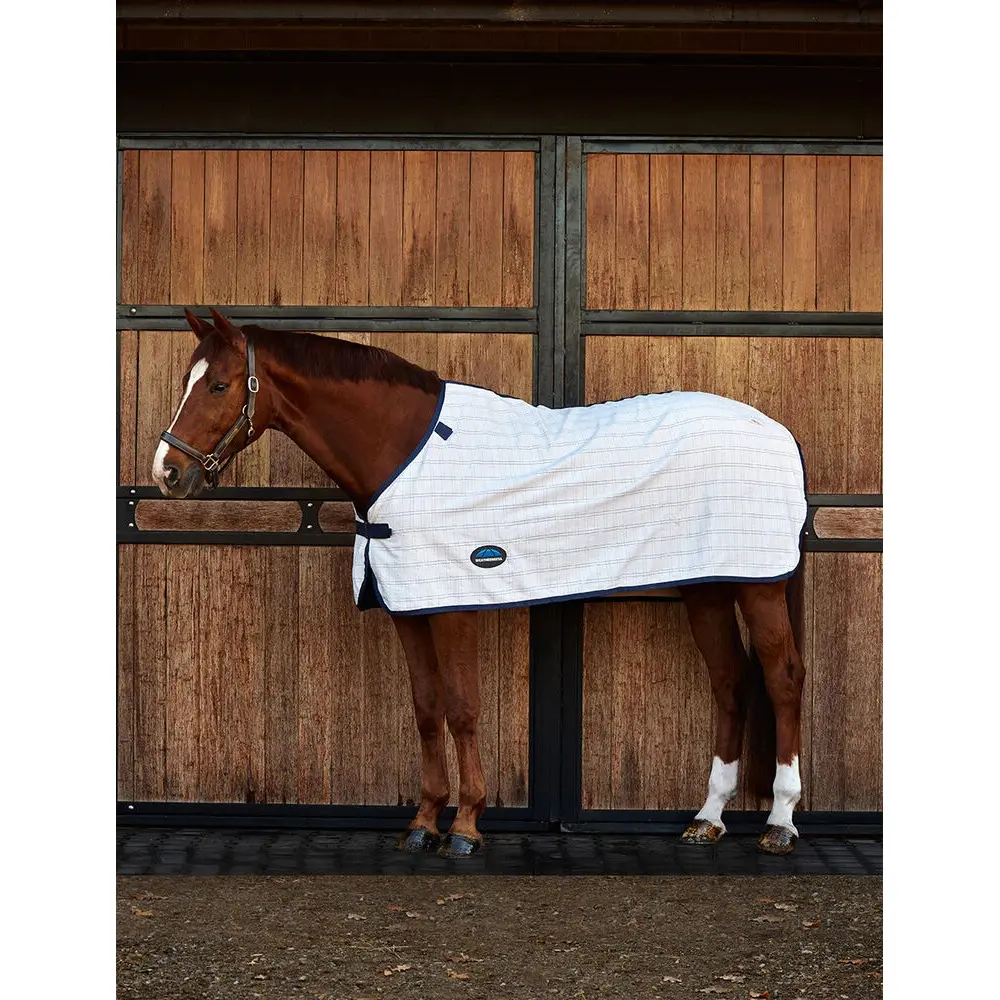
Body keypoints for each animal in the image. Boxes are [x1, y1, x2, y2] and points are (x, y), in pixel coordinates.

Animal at [152, 309, 807, 857]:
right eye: (186, 378)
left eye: (218, 385)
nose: (168, 472)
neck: (404, 454)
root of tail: (778, 431)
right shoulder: (410, 607)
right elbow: (426, 710)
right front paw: (423, 823)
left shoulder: (453, 604)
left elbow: (463, 708)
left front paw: (466, 826)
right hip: (708, 587)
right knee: (730, 682)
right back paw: (709, 817)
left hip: (758, 586)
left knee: (781, 678)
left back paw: (779, 822)